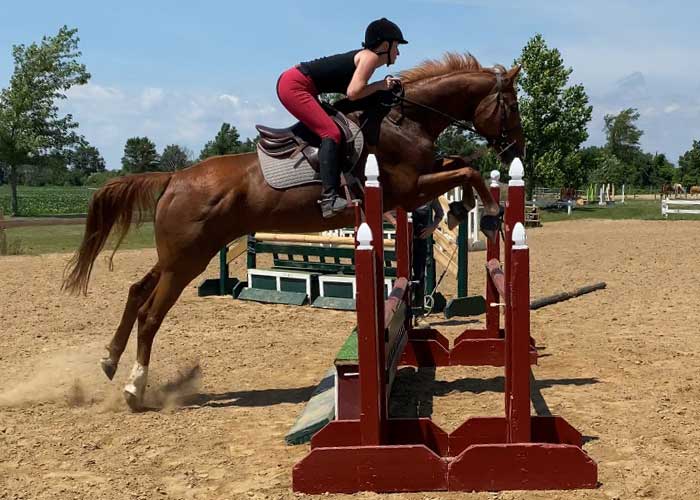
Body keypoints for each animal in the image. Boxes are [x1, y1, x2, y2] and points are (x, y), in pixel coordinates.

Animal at [62, 53, 526, 410]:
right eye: (512, 107)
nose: (516, 151)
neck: (404, 119)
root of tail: (174, 177)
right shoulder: (408, 188)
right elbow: (467, 170)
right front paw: (485, 212)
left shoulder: (418, 183)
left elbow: (458, 165)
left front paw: (458, 211)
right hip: (187, 261)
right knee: (150, 314)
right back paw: (134, 387)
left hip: (179, 256)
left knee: (136, 291)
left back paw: (109, 361)